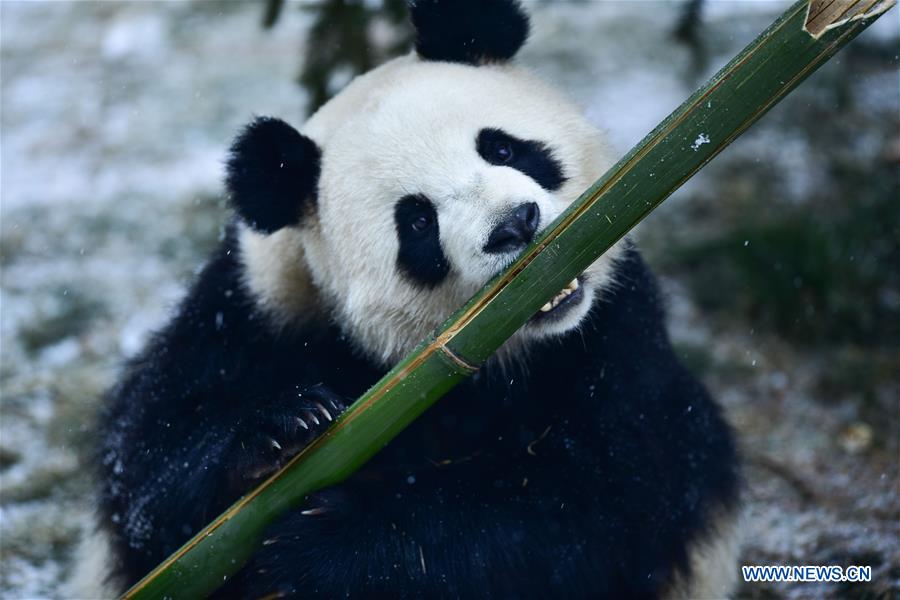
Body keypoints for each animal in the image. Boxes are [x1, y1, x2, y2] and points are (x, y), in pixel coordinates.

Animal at [81, 2, 740, 596]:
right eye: (418, 221)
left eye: (502, 148)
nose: (515, 225)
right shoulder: (252, 308)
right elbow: (145, 476)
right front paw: (280, 429)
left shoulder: (616, 336)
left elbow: (597, 501)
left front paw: (327, 546)